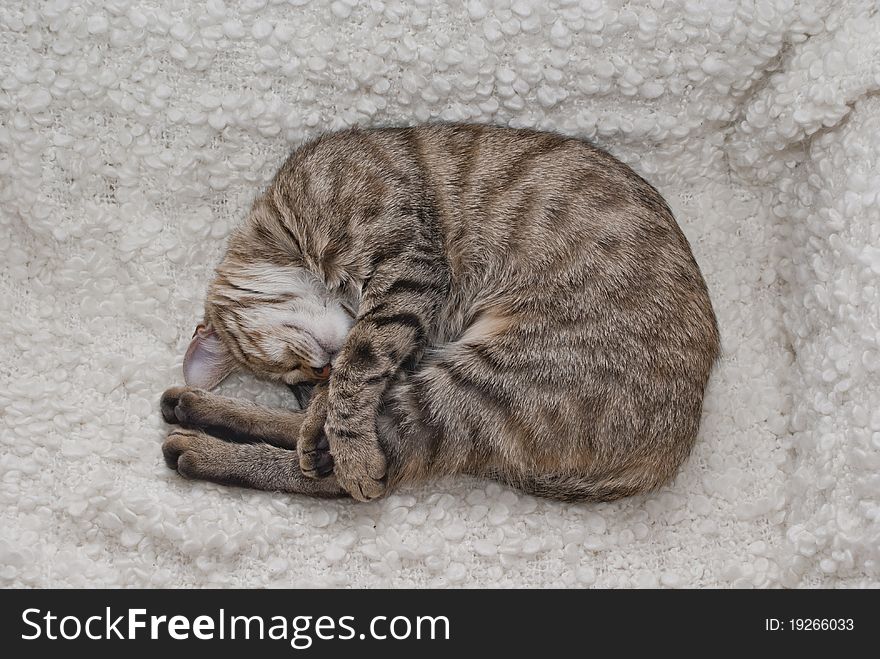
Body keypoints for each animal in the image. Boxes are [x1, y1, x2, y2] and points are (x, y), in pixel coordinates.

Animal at [162, 124, 720, 502]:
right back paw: (199, 412)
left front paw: (338, 435)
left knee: (358, 472)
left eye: (292, 366)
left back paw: (209, 445)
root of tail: (671, 451)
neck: (287, 225)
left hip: (482, 383)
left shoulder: (408, 271)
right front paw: (323, 420)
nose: (315, 370)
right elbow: (352, 380)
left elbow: (355, 371)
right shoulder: (409, 317)